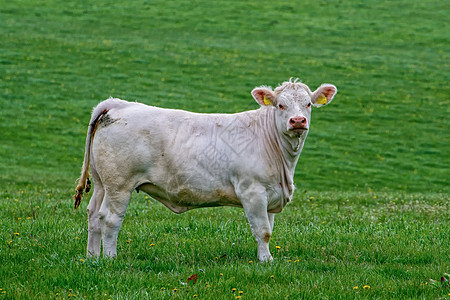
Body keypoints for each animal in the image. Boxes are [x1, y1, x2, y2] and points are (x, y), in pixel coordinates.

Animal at [74, 78, 336, 262]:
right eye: (281, 105)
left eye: (308, 104)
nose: (298, 121)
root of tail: (119, 104)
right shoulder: (252, 190)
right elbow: (263, 231)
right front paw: (266, 262)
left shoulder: (270, 193)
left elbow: (268, 229)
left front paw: (266, 257)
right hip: (119, 184)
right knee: (109, 218)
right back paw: (110, 258)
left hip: (101, 183)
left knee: (93, 215)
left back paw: (92, 258)